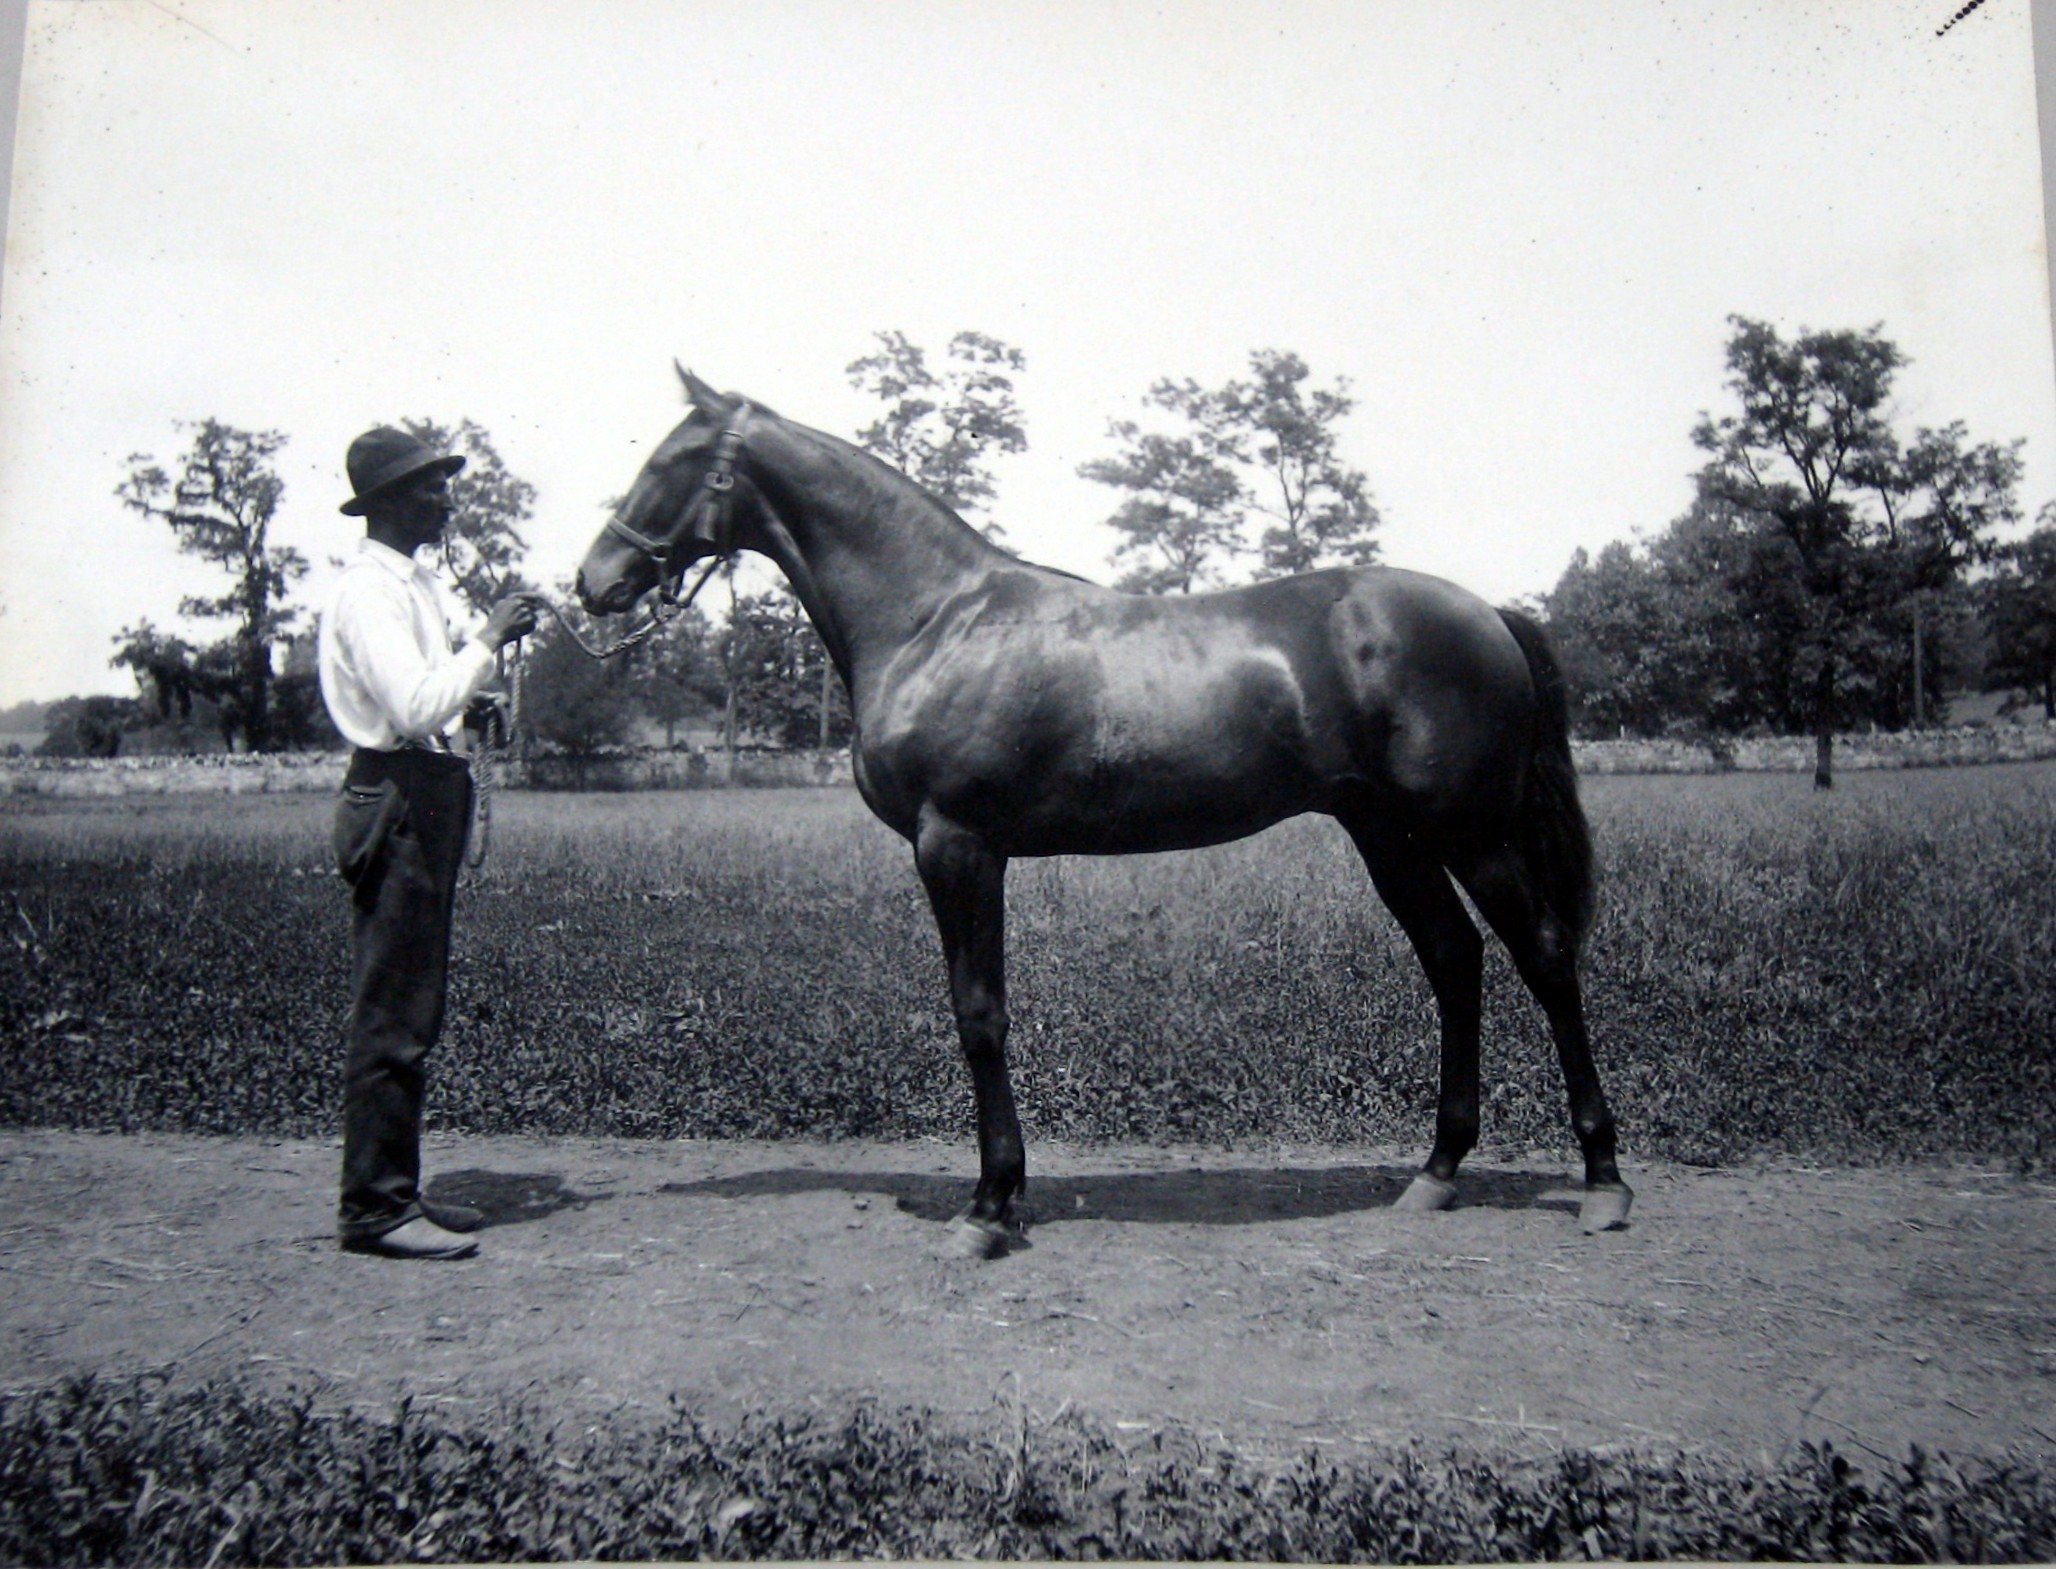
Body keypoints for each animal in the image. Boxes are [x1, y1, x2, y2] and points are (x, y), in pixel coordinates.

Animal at [576, 367, 1633, 1253]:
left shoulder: (956, 845)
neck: (934, 617)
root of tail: (1490, 614)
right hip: (1389, 835)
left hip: (1472, 831)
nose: (593, 581)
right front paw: (1004, 1196)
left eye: (666, 464)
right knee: (1454, 959)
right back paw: (1437, 1171)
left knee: (1543, 956)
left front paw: (989, 1208)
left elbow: (980, 1014)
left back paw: (1604, 1180)